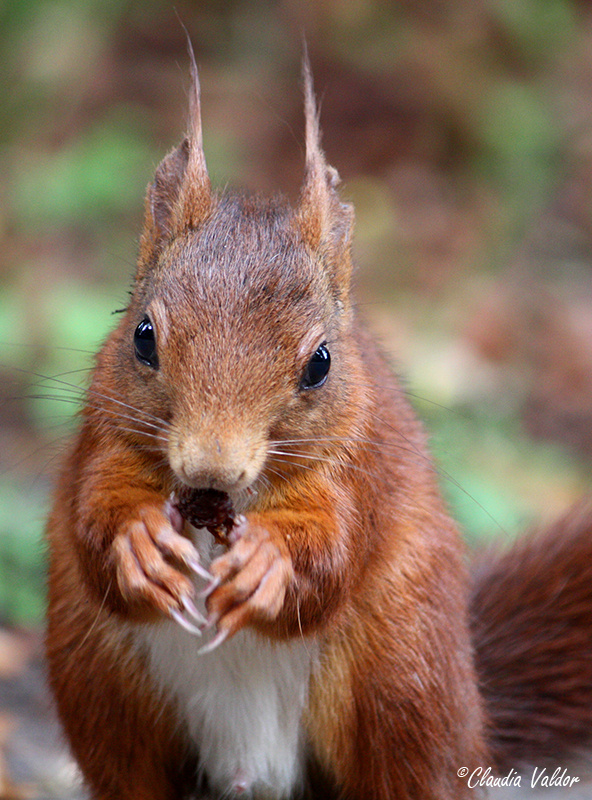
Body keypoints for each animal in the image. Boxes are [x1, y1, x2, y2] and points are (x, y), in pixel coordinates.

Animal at [45, 50, 592, 800]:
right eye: (142, 337)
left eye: (320, 364)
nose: (210, 466)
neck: (221, 510)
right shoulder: (105, 439)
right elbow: (93, 518)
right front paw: (139, 543)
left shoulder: (357, 471)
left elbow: (333, 554)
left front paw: (269, 564)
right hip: (104, 692)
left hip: (400, 681)